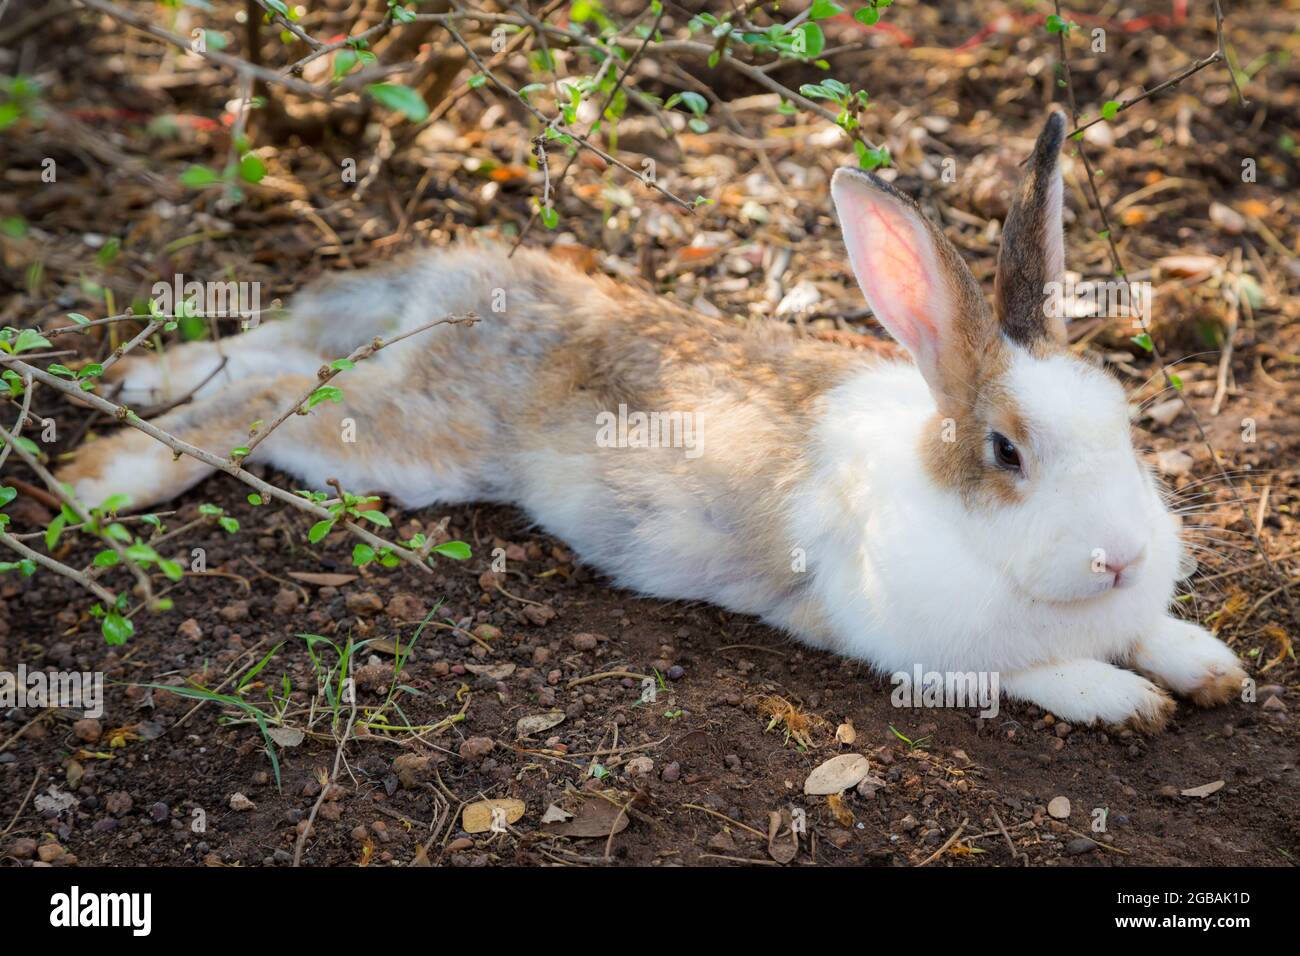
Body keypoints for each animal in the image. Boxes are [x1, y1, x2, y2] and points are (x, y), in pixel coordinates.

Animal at [56, 110, 1246, 732]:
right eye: (1006, 451)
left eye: (1124, 423)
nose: (1119, 554)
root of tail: (475, 285)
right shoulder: (919, 644)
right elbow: (1039, 671)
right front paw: (1126, 699)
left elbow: (1156, 634)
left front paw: (1211, 667)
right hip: (406, 443)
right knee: (267, 404)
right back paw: (99, 477)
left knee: (286, 352)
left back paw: (141, 375)